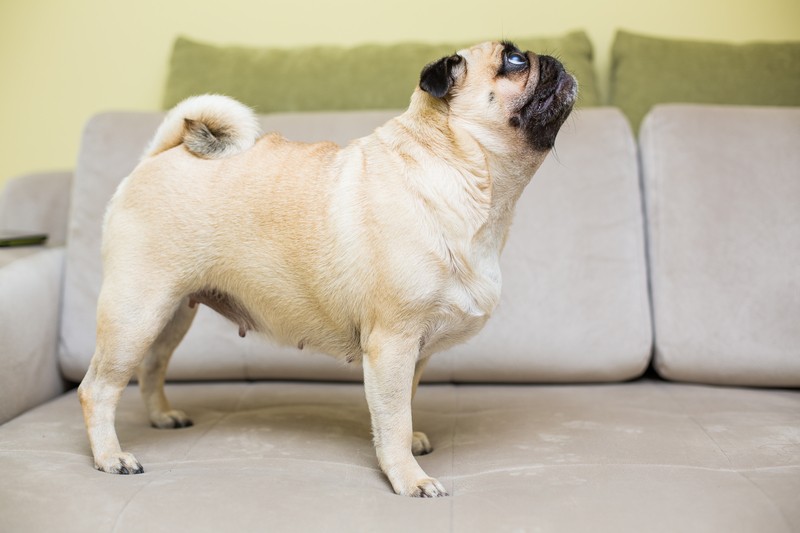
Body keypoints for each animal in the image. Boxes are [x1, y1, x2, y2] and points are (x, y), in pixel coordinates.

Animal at [78, 40, 576, 494]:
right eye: (514, 60)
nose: (554, 59)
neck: (461, 175)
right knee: (98, 388)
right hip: (136, 312)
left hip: (172, 314)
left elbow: (403, 406)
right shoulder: (392, 343)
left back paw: (162, 416)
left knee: (151, 368)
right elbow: (393, 417)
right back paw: (110, 457)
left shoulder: (413, 354)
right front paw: (408, 477)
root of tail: (161, 155)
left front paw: (408, 447)